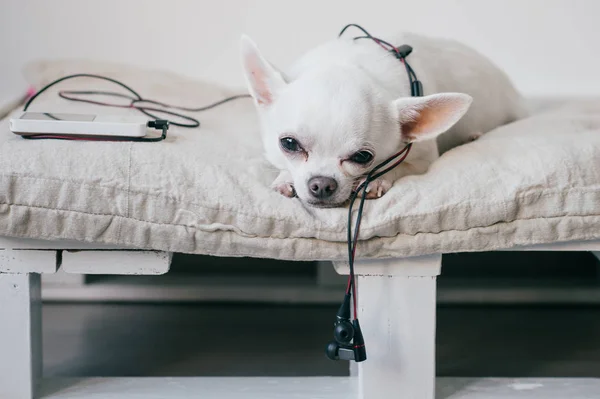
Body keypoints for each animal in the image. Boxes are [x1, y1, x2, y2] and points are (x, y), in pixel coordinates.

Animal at [239, 29, 524, 208]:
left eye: (362, 157)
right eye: (288, 144)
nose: (321, 184)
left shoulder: (422, 159)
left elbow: (399, 165)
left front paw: (376, 180)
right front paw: (284, 178)